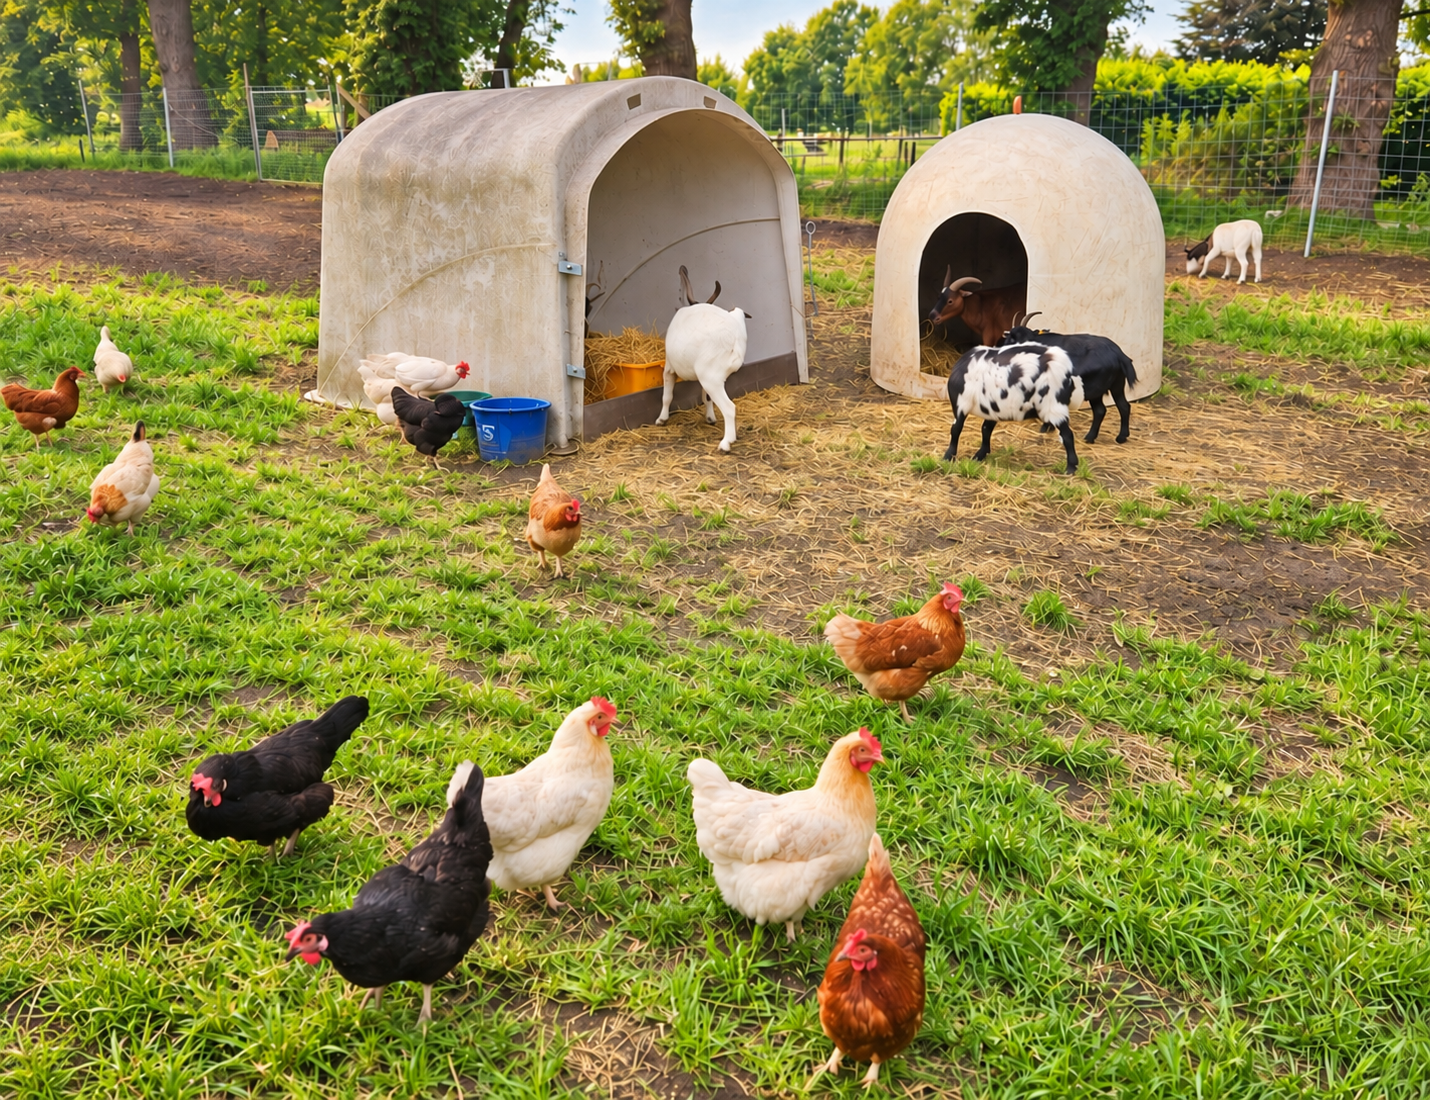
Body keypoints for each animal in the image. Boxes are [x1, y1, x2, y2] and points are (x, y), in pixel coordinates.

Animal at [657, 266, 749, 453]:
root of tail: (733, 337)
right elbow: (706, 397)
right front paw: (710, 418)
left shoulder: (669, 368)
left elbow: (667, 396)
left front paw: (661, 419)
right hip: (709, 378)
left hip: (711, 379)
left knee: (729, 408)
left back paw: (726, 443)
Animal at [942, 342, 1085, 474]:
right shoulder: (992, 408)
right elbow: (986, 429)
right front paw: (980, 455)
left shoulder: (960, 404)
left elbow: (956, 429)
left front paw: (948, 457)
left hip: (1054, 408)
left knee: (1067, 436)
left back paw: (1071, 468)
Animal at [997, 312, 1138, 445]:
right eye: (1012, 338)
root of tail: (1119, 354)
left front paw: (1046, 427)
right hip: (1117, 384)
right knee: (1123, 406)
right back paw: (1120, 437)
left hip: (1095, 389)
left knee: (1100, 410)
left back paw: (1091, 437)